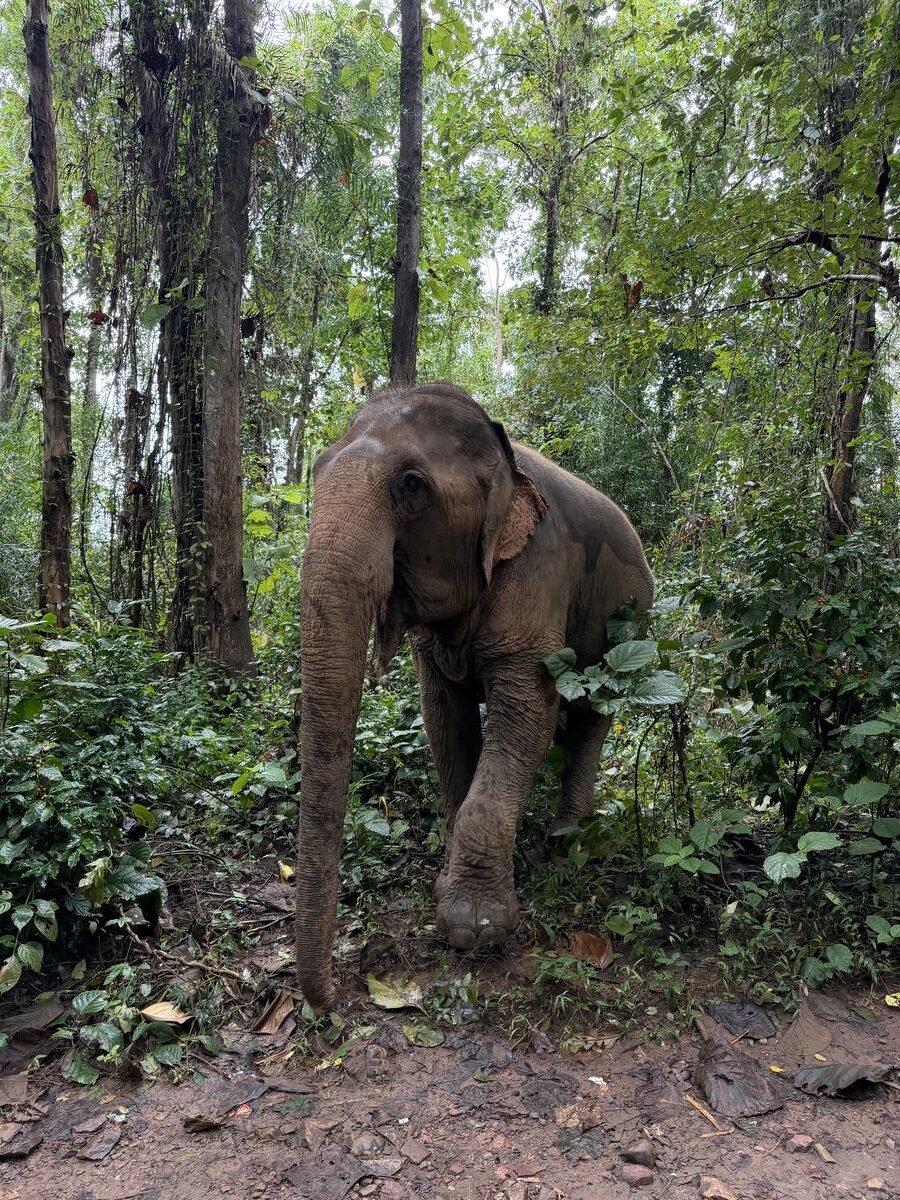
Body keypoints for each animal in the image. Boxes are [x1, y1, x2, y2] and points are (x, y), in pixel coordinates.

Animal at [296, 383, 653, 1010]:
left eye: (412, 485)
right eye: (313, 472)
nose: (330, 1001)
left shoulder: (539, 569)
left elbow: (527, 713)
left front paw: (474, 928)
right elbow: (445, 720)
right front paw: (448, 884)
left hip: (628, 628)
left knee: (590, 719)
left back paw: (565, 840)